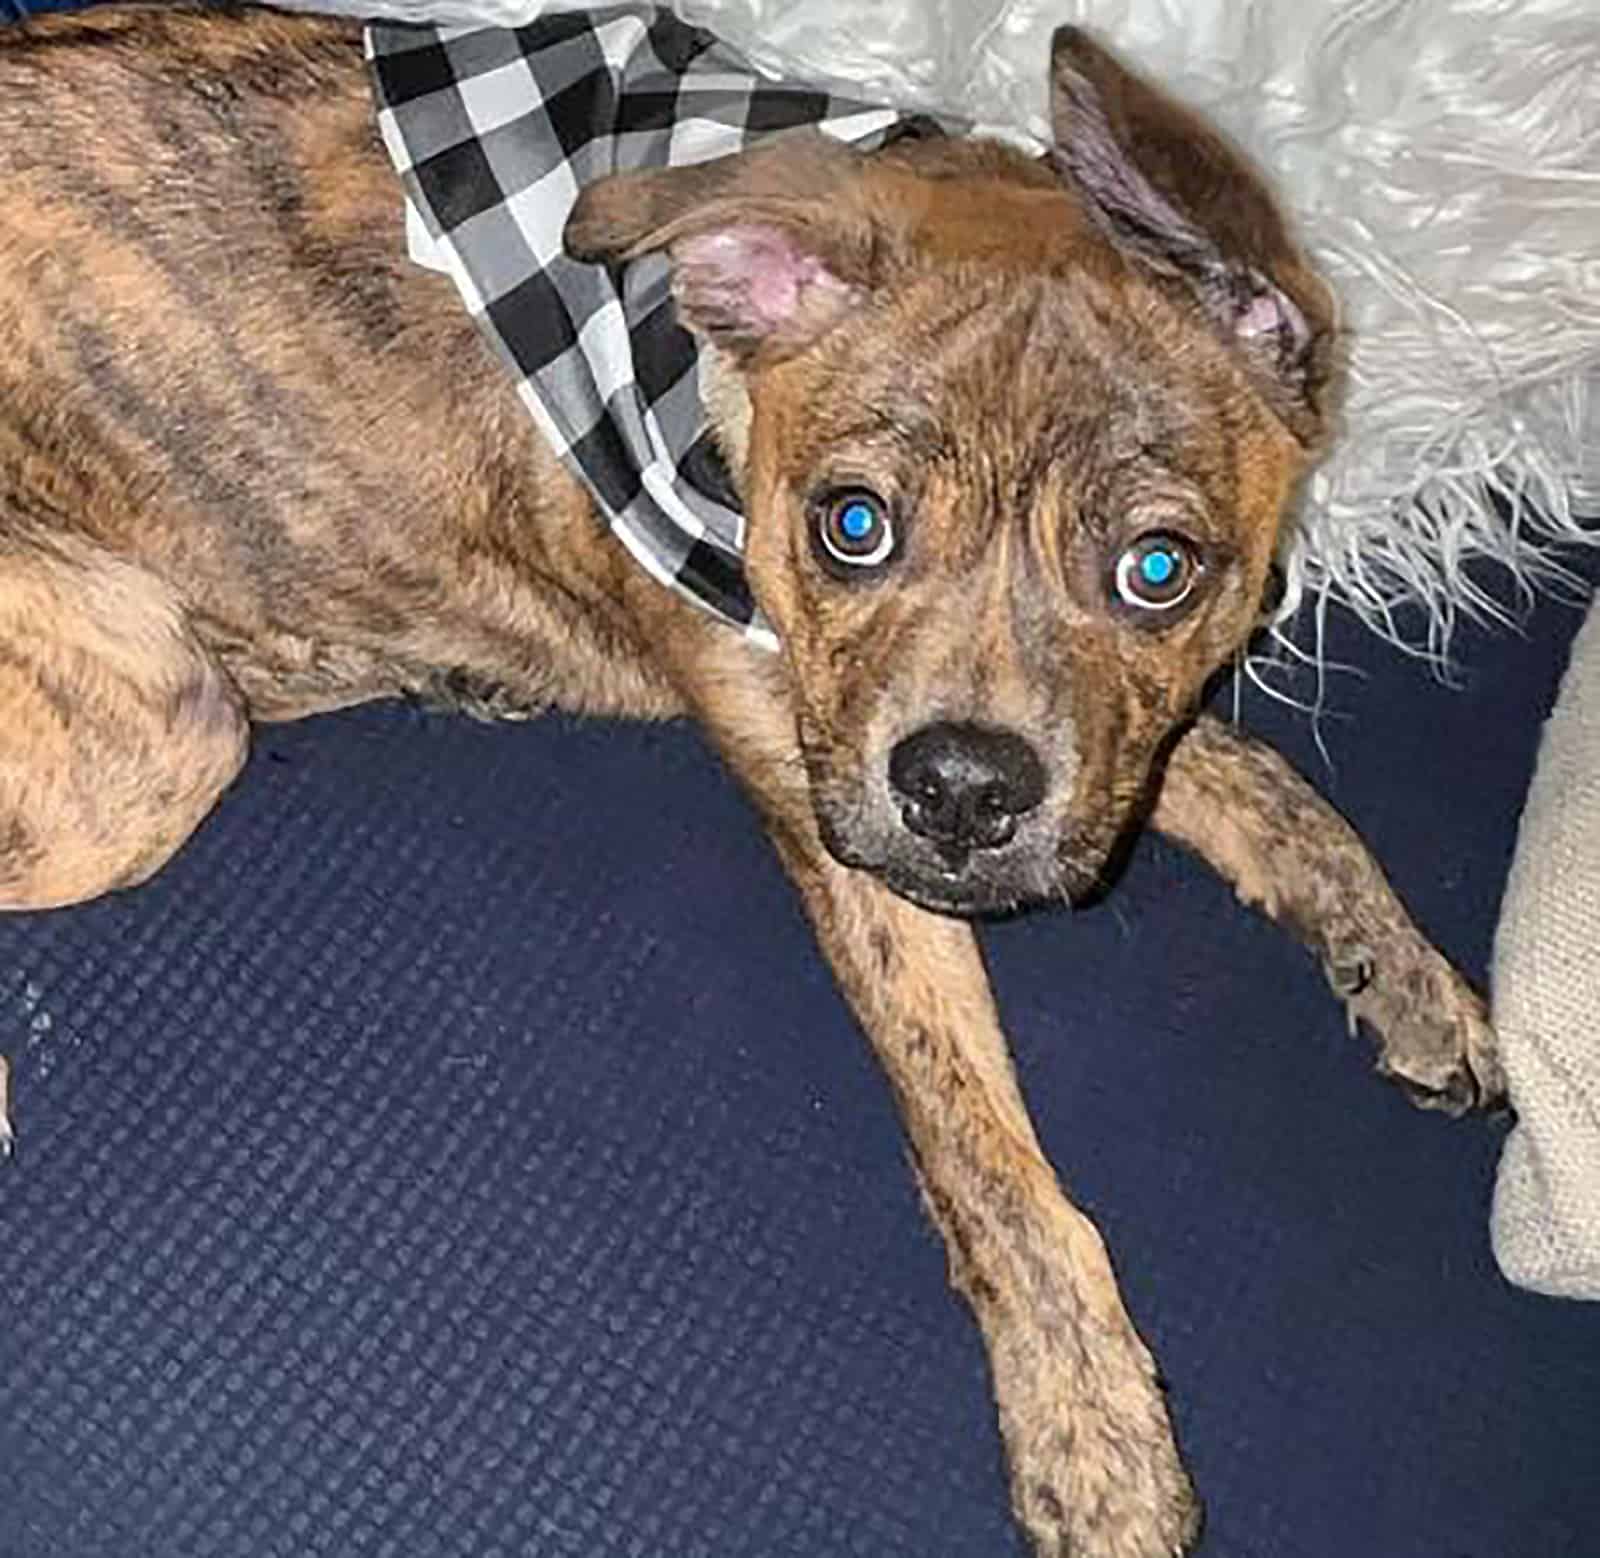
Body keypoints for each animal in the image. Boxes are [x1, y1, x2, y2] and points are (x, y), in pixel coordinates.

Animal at [0, 12, 1497, 1558]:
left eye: (1159, 569)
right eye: (854, 525)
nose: (963, 792)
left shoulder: (1068, 750)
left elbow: (1255, 780)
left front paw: (1405, 972)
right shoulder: (838, 793)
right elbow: (986, 1157)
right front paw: (1093, 1434)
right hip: (146, 724)